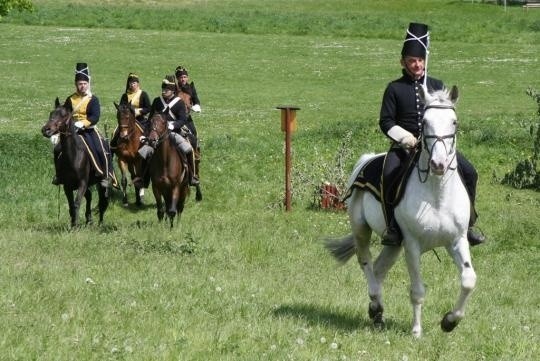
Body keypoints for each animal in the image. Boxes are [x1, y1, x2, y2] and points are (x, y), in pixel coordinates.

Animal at [41, 97, 109, 228]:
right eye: (51, 113)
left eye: (63, 115)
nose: (46, 130)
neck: (73, 157)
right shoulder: (67, 186)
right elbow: (71, 205)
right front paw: (73, 224)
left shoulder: (82, 183)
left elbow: (77, 203)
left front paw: (75, 225)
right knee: (89, 196)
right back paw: (89, 220)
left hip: (101, 183)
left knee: (102, 201)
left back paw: (100, 223)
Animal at [324, 85, 476, 338]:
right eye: (424, 122)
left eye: (454, 122)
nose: (438, 164)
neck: (436, 194)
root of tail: (367, 160)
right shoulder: (412, 245)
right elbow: (417, 291)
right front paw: (416, 331)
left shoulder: (457, 240)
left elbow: (468, 280)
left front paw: (449, 321)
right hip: (361, 230)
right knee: (366, 263)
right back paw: (376, 304)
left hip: (393, 244)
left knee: (379, 268)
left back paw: (376, 313)